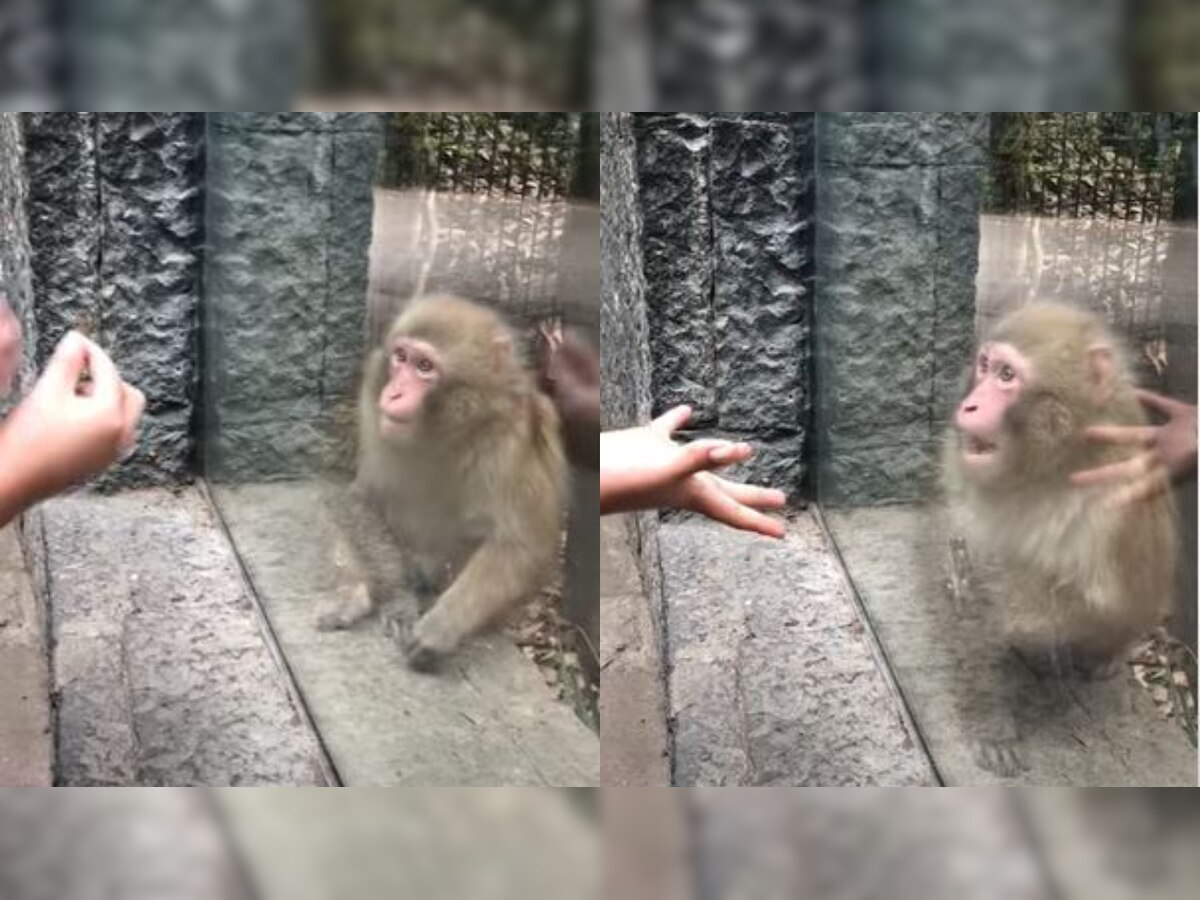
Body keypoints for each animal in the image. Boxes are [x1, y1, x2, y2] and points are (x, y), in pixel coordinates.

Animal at [314, 292, 566, 672]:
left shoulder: (509, 440)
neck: (443, 427)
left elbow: (521, 543)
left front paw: (442, 626)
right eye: (401, 357)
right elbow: (358, 498)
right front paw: (399, 598)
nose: (394, 394)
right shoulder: (372, 406)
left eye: (424, 366)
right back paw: (356, 592)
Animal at [940, 304, 1176, 676]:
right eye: (985, 365)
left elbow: (1101, 608)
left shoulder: (1111, 501)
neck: (1058, 463)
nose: (969, 405)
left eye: (1007, 375)